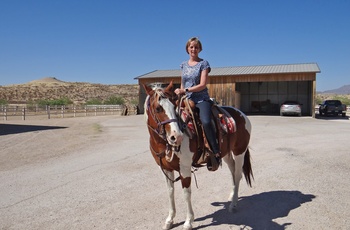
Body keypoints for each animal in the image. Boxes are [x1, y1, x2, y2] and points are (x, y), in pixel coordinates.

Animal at [144, 82, 253, 229]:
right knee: (233, 172)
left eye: (174, 106)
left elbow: (186, 193)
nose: (176, 137)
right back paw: (232, 196)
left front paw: (188, 221)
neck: (163, 143)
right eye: (158, 108)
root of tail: (242, 114)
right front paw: (170, 220)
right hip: (226, 153)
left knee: (237, 174)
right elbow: (170, 192)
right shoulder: (166, 169)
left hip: (239, 151)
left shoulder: (184, 168)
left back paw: (233, 205)